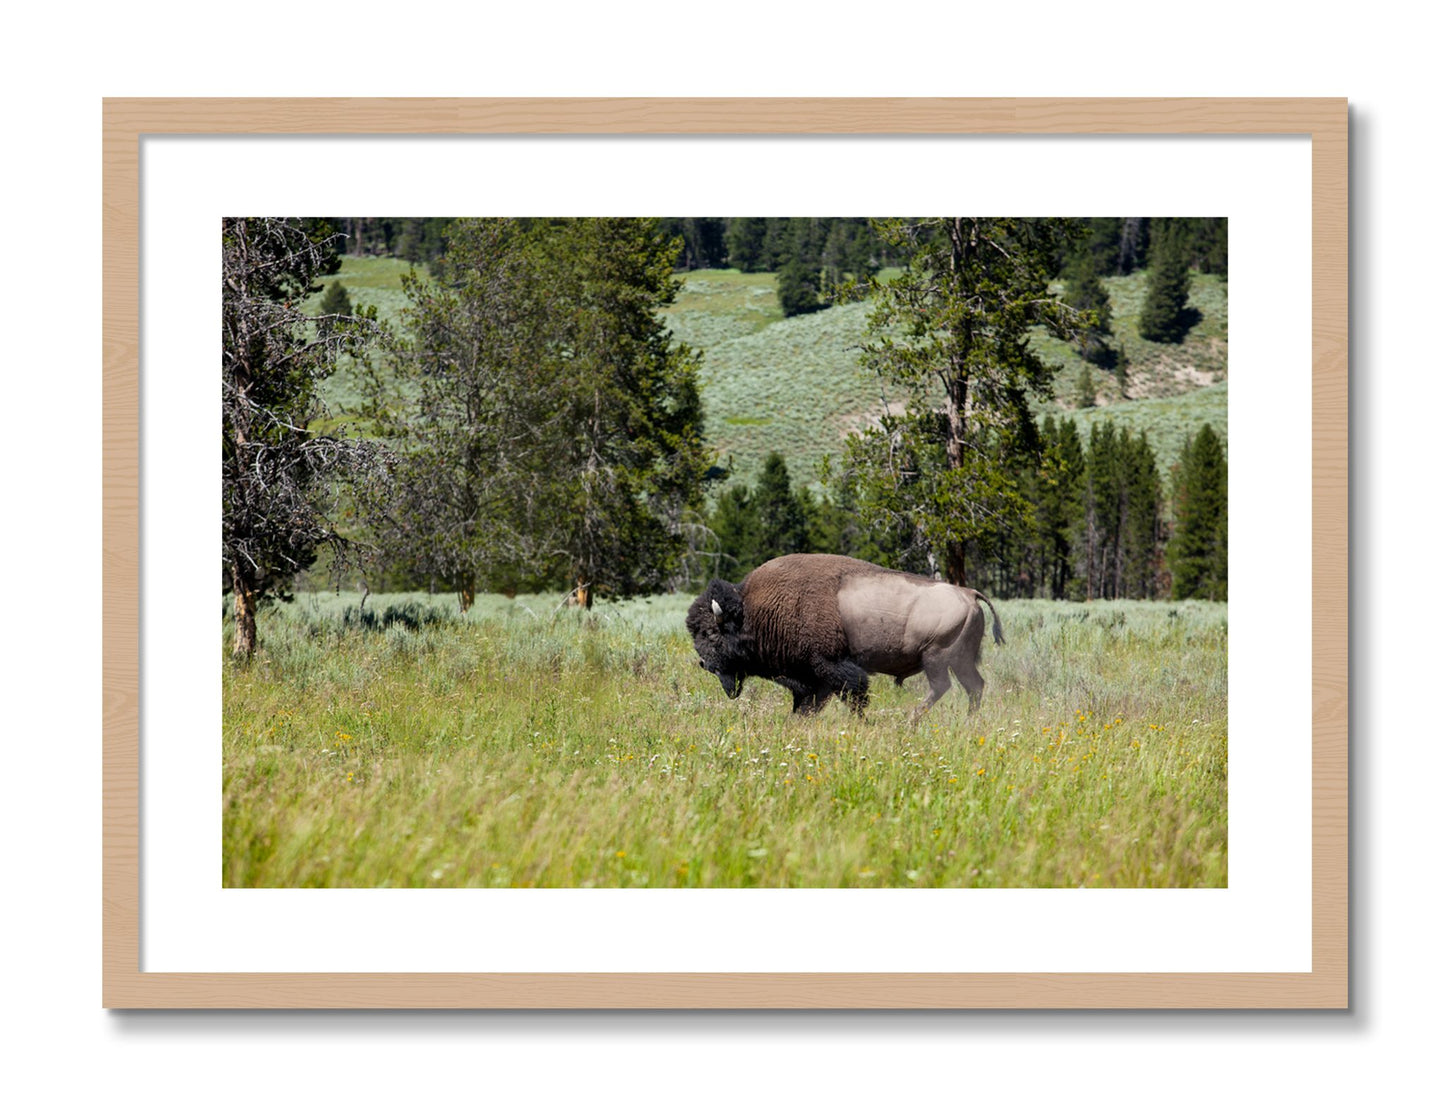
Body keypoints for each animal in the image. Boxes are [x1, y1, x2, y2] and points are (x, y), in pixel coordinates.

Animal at [685, 553, 1004, 720]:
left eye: (711, 633)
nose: (705, 664)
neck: (753, 610)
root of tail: (969, 593)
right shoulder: (813, 679)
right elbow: (808, 705)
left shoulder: (831, 667)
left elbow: (854, 695)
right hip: (960, 660)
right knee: (974, 686)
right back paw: (967, 721)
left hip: (936, 657)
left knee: (943, 687)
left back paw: (910, 721)